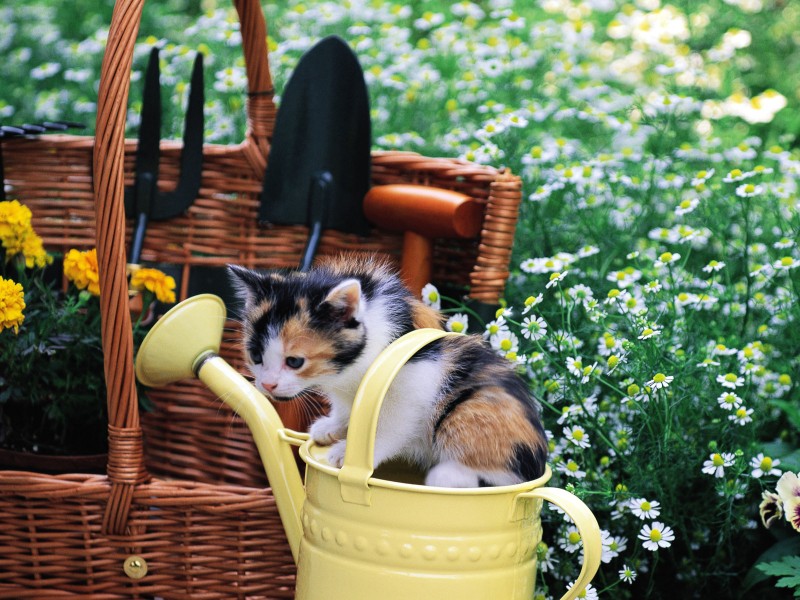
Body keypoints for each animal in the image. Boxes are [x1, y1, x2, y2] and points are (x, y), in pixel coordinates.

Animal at [228, 254, 548, 488]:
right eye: (255, 356)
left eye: (294, 361)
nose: (267, 385)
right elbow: (349, 407)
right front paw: (334, 426)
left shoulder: (415, 380)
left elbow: (394, 424)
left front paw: (350, 451)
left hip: (475, 406)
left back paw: (449, 475)